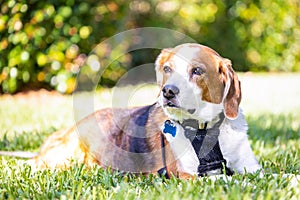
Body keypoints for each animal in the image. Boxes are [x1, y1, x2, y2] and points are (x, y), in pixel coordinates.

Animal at [28, 43, 262, 178]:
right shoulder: (185, 175)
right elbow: (225, 179)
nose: (168, 91)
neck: (205, 128)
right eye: (167, 69)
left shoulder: (252, 167)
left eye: (197, 71)